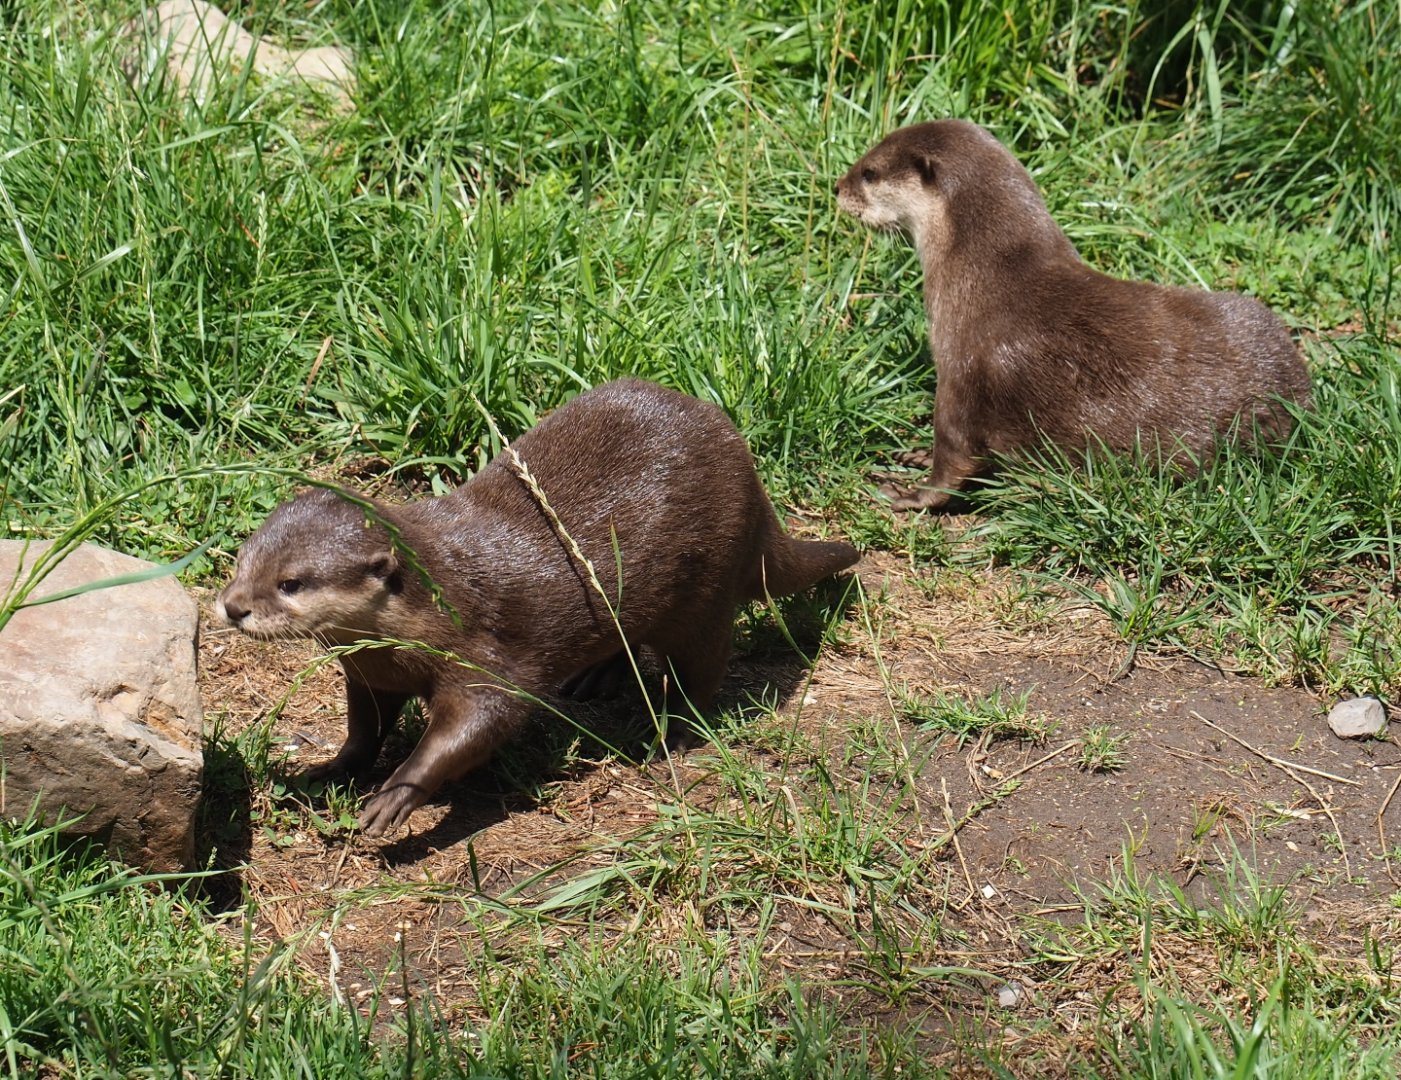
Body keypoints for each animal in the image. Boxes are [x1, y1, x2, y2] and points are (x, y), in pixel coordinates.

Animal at [218, 378, 858, 836]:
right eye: (243, 559)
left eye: (291, 583)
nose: (232, 607)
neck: (437, 606)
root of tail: (752, 481)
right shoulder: (370, 672)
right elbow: (364, 727)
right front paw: (329, 769)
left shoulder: (486, 654)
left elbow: (482, 722)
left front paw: (397, 794)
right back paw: (596, 678)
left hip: (706, 587)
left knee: (702, 670)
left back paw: (669, 736)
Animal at [835, 119, 1311, 510]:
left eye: (869, 172)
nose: (837, 188)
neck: (984, 275)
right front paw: (913, 454)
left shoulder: (960, 373)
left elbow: (953, 456)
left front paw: (908, 493)